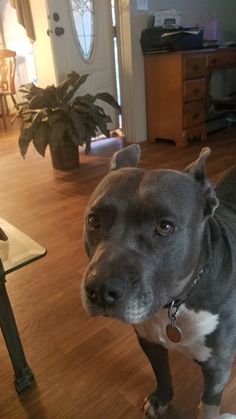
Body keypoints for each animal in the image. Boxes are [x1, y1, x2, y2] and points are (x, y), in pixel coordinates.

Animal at [81, 145, 236, 419]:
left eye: (165, 227)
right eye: (93, 221)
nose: (100, 288)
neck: (176, 304)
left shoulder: (217, 368)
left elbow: (209, 404)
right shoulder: (150, 343)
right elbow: (161, 373)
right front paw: (161, 399)